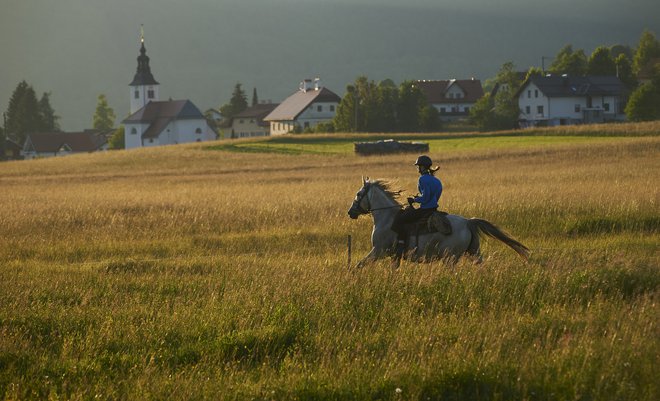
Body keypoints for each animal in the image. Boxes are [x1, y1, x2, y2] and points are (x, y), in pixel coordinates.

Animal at [348, 177, 528, 266]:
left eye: (358, 194)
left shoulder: (378, 251)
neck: (386, 217)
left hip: (450, 257)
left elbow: (359, 265)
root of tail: (468, 222)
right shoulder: (393, 256)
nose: (350, 212)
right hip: (473, 252)